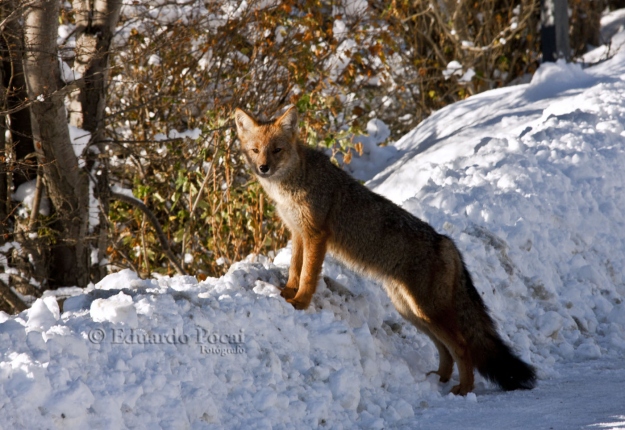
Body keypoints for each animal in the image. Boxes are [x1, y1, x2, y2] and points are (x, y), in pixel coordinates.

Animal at [232, 106, 532, 394]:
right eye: (256, 150)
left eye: (277, 150)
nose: (263, 168)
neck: (292, 185)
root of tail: (447, 242)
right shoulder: (298, 233)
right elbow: (295, 269)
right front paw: (286, 293)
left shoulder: (316, 235)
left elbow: (308, 275)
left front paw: (300, 302)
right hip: (413, 313)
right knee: (445, 349)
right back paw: (440, 380)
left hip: (427, 311)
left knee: (461, 347)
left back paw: (464, 390)